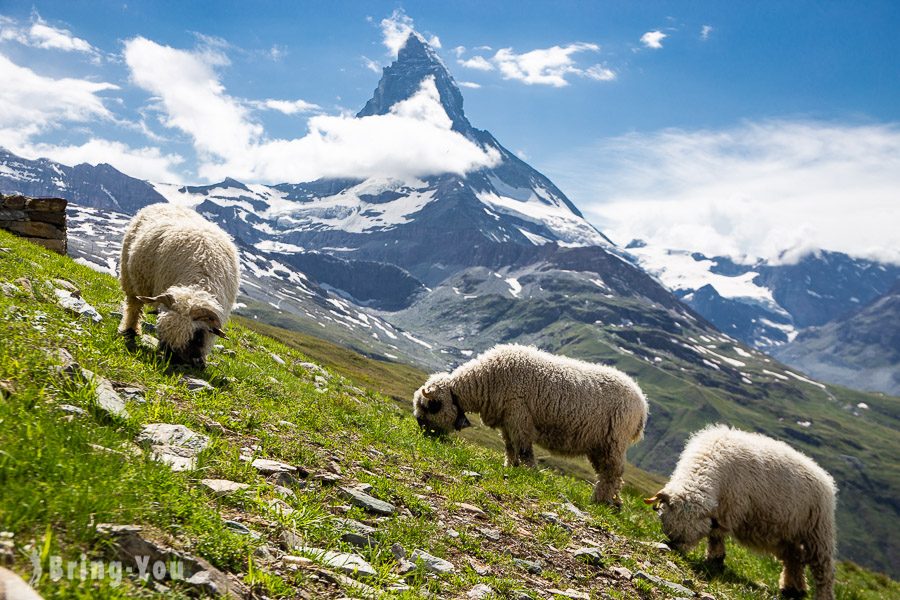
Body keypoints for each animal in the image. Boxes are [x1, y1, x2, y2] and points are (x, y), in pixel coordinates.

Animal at [118, 204, 241, 368]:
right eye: (161, 333)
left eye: (196, 337)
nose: (175, 361)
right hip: (129, 277)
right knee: (133, 306)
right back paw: (130, 330)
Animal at [412, 342, 652, 506]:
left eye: (429, 407)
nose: (424, 433)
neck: (485, 379)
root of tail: (642, 402)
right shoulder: (507, 421)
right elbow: (509, 447)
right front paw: (510, 466)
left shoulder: (519, 417)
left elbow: (525, 449)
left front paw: (529, 472)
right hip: (599, 444)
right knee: (608, 473)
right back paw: (613, 501)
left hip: (614, 440)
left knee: (612, 472)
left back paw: (600, 501)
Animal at [648, 424, 836, 596]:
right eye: (670, 532)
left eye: (687, 536)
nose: (674, 549)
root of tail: (825, 478)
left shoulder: (728, 510)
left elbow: (716, 537)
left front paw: (715, 561)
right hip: (788, 533)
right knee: (794, 559)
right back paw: (792, 590)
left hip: (817, 532)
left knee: (823, 571)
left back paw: (821, 594)